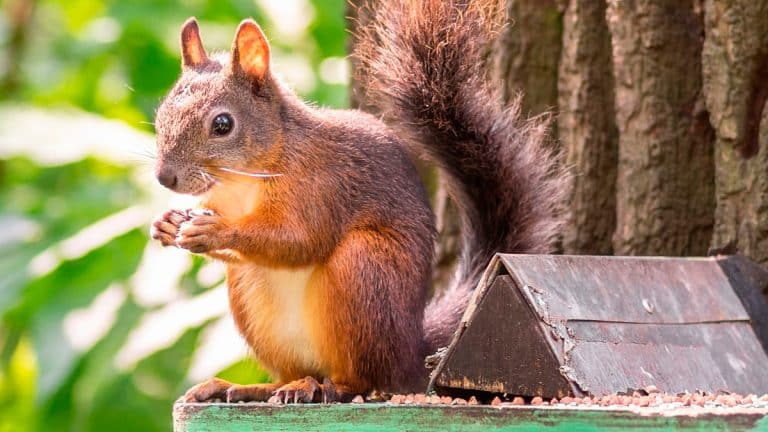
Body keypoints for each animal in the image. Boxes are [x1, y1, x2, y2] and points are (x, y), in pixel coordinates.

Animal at [150, 0, 564, 404]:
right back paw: (253, 387)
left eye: (223, 124)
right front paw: (169, 224)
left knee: (364, 379)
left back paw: (325, 388)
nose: (165, 178)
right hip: (253, 300)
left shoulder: (323, 188)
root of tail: (412, 353)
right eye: (162, 113)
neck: (243, 180)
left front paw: (216, 230)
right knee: (291, 370)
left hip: (364, 267)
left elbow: (299, 241)